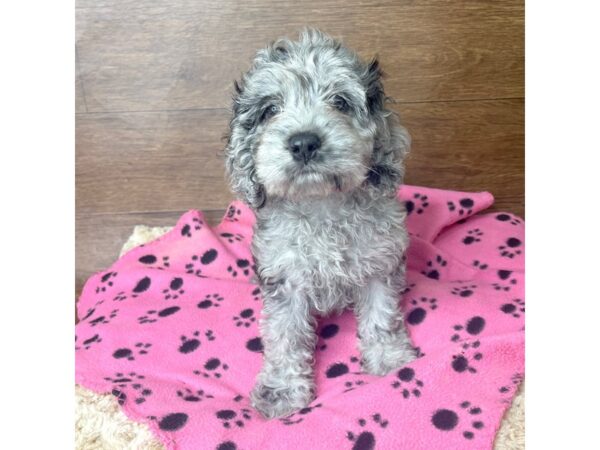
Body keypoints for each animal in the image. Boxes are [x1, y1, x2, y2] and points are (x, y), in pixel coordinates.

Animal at [225, 29, 418, 418]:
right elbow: (284, 334)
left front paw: (389, 360)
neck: (322, 203)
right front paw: (282, 389)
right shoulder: (284, 277)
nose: (304, 142)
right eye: (270, 110)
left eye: (340, 102)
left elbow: (382, 315)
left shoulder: (380, 262)